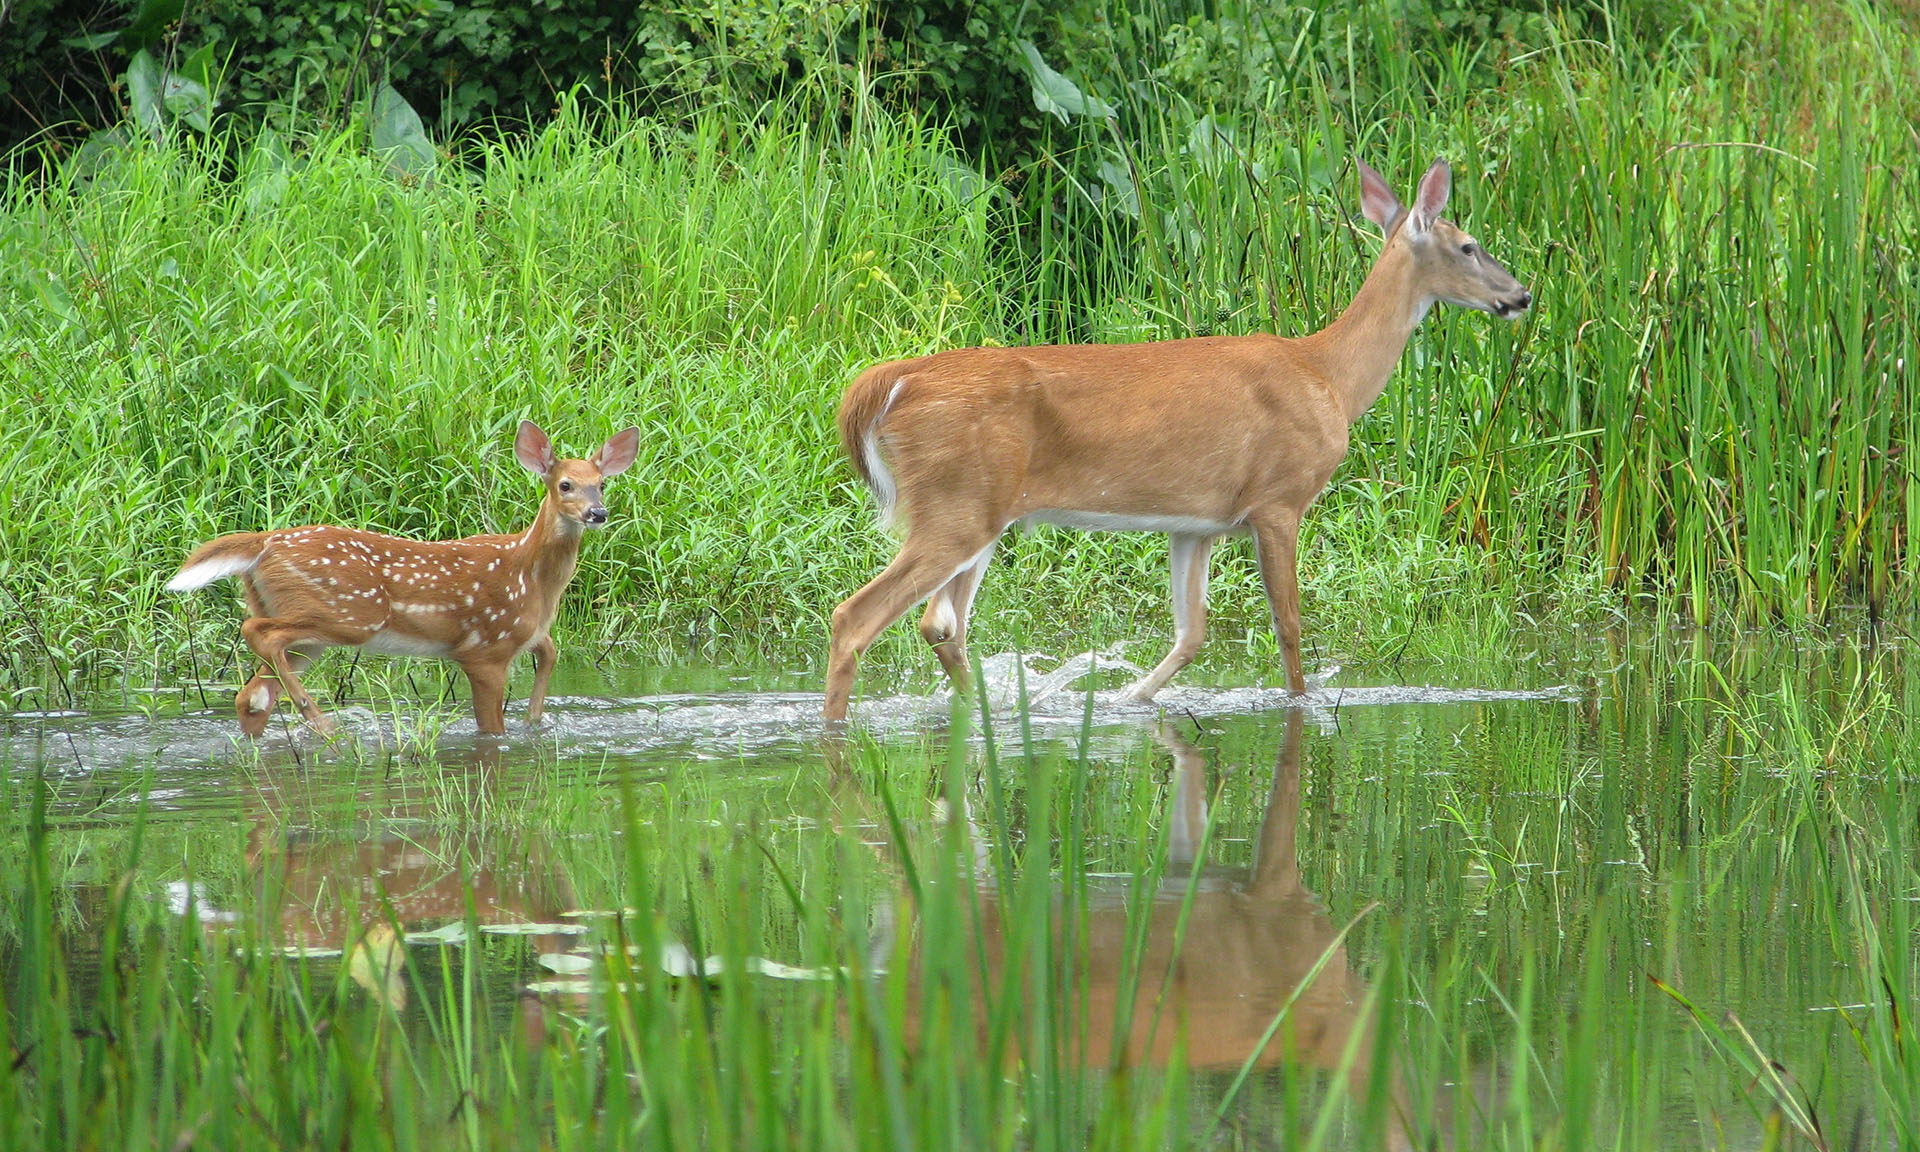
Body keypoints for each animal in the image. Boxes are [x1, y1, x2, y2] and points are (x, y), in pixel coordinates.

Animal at [165, 422, 637, 737]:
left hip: (304, 629)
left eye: (602, 484)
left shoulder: (531, 635)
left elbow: (550, 656)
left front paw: (535, 719)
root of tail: (264, 542)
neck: (531, 577)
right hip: (350, 613)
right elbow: (491, 727)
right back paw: (320, 721)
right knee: (257, 633)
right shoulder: (485, 647)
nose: (598, 513)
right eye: (565, 484)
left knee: (252, 693)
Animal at [825, 156, 1528, 714]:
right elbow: (1289, 629)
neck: (1328, 376)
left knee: (940, 625)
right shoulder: (1279, 499)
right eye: (1469, 245)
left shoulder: (1196, 523)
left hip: (979, 510)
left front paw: (1127, 698)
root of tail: (892, 382)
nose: (1520, 295)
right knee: (857, 616)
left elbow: (1192, 635)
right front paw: (1301, 704)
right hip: (956, 503)